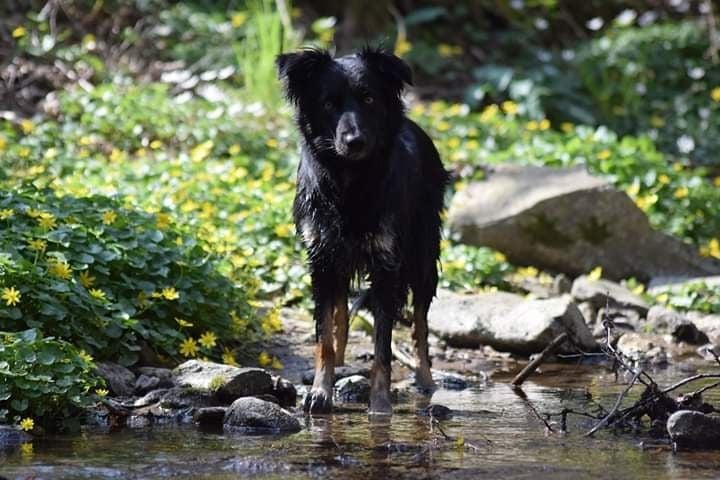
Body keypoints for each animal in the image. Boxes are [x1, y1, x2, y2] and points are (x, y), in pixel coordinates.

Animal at [278, 47, 448, 414]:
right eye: (328, 103)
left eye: (369, 98)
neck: (349, 178)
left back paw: (425, 378)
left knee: (421, 324)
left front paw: (380, 404)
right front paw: (320, 390)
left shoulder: (387, 265)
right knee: (341, 313)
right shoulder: (321, 258)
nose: (354, 141)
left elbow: (383, 343)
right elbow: (325, 332)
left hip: (422, 256)